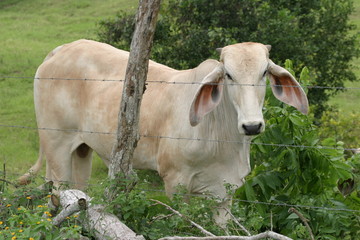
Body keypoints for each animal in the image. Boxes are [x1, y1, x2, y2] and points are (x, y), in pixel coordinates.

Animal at [19, 39, 308, 221]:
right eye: (228, 75)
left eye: (264, 73)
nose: (252, 125)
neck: (220, 136)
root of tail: (60, 50)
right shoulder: (175, 182)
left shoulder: (226, 192)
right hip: (56, 146)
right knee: (58, 189)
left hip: (82, 150)